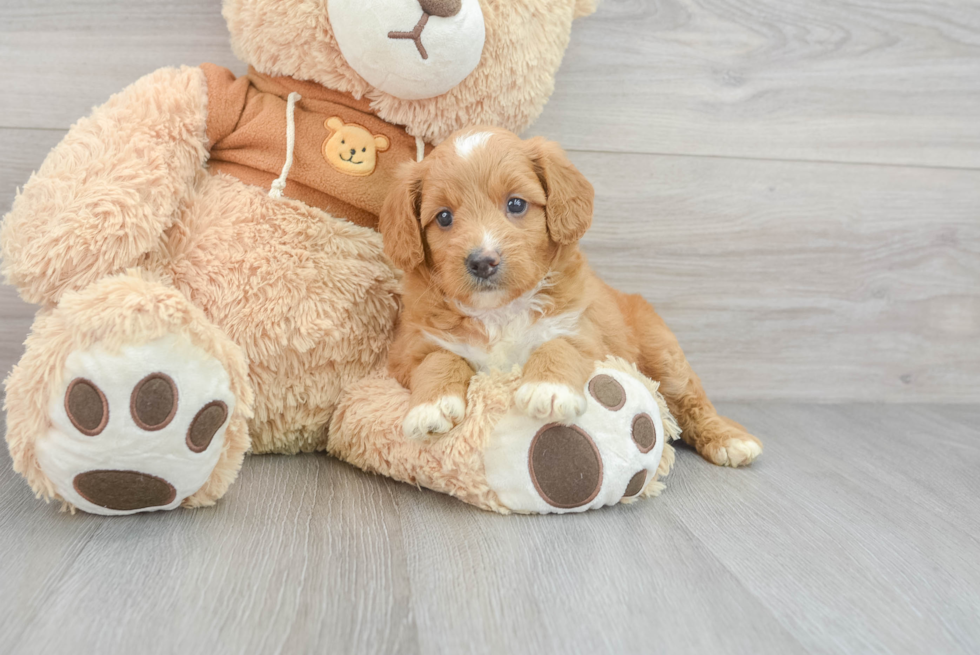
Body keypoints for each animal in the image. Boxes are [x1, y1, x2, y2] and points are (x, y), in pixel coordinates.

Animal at [378, 127, 760, 466]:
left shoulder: (583, 332)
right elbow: (439, 359)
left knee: (693, 400)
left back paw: (729, 439)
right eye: (444, 217)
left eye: (516, 204)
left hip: (664, 355)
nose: (483, 262)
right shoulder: (411, 349)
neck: (500, 312)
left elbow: (558, 345)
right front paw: (431, 406)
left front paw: (548, 389)